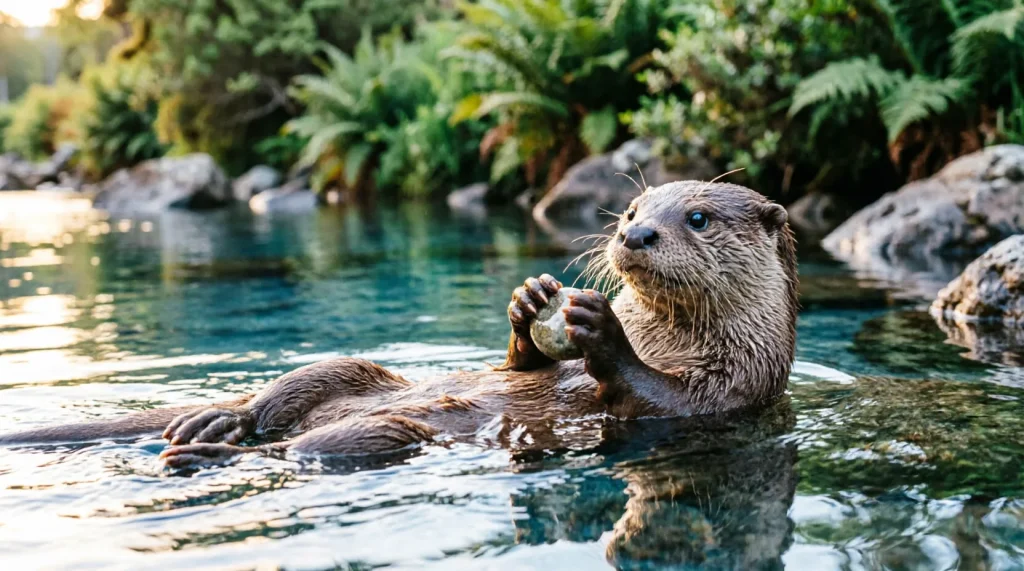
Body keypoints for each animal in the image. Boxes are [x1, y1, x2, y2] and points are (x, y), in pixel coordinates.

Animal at [0, 181, 798, 469]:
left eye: (696, 217)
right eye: (633, 209)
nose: (635, 235)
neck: (670, 336)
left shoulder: (735, 387)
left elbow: (656, 397)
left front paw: (602, 330)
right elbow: (522, 367)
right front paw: (528, 303)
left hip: (385, 431)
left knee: (304, 449)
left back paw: (205, 448)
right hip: (349, 368)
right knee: (279, 398)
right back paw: (216, 424)